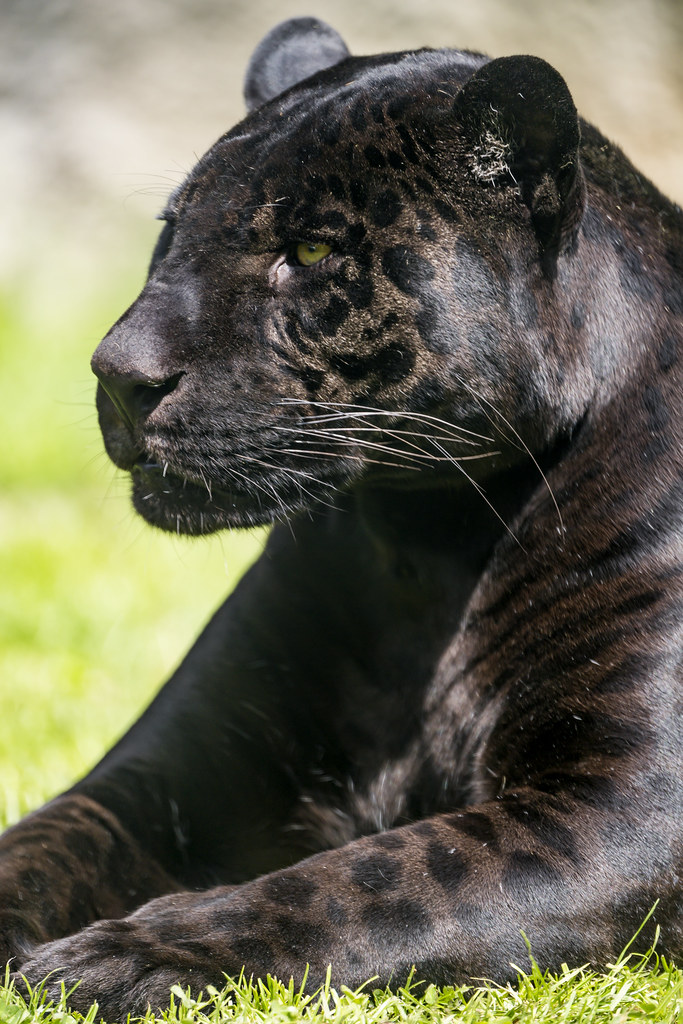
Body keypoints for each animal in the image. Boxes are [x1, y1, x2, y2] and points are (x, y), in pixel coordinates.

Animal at [2, 16, 682, 1019]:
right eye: (171, 231)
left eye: (314, 254)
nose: (118, 375)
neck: (425, 548)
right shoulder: (171, 771)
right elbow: (42, 840)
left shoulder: (624, 805)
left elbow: (374, 877)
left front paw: (124, 955)